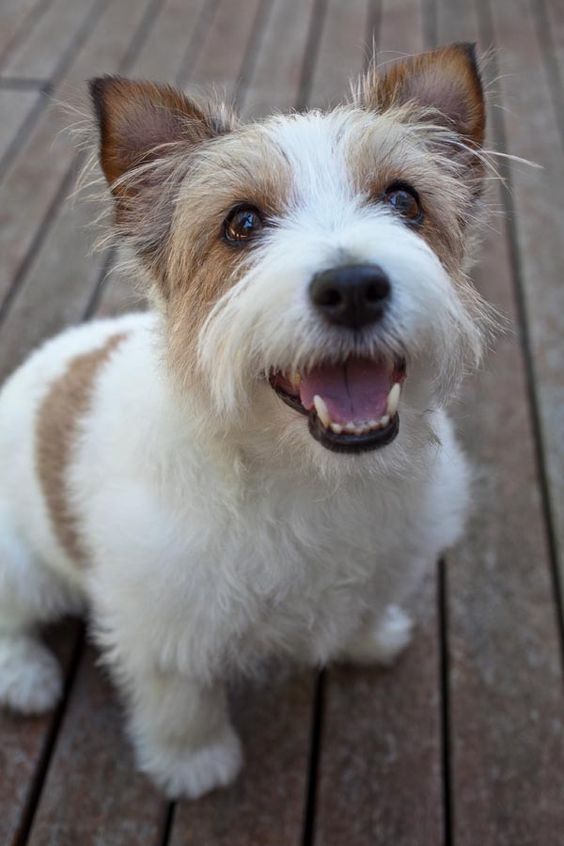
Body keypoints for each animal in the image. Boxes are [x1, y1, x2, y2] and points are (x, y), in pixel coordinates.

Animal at [0, 43, 494, 800]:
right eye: (242, 223)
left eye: (404, 200)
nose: (353, 287)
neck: (310, 479)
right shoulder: (160, 626)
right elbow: (182, 702)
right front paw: (195, 765)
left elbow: (365, 602)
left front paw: (368, 638)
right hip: (21, 566)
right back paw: (26, 678)